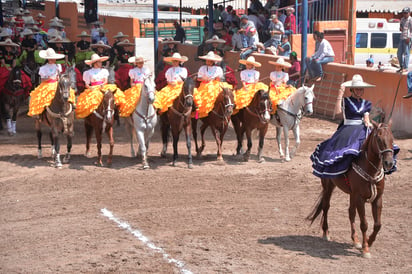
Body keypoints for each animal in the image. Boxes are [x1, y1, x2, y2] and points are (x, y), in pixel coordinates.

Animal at [308, 121, 394, 258]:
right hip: (328, 186)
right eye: (378, 139)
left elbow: (377, 225)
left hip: (351, 194)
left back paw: (356, 240)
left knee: (351, 212)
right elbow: (364, 224)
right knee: (326, 207)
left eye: (392, 139)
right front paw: (365, 249)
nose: (389, 163)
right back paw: (326, 233)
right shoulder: (360, 198)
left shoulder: (377, 198)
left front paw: (368, 242)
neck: (370, 169)